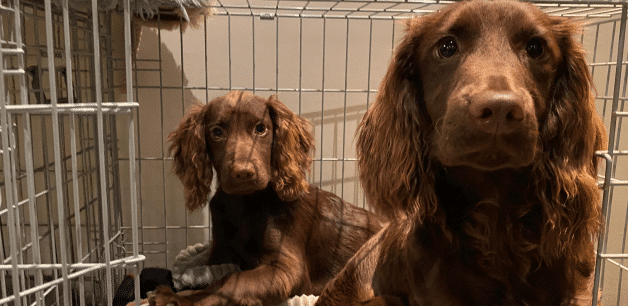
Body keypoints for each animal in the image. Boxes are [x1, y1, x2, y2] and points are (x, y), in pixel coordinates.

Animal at [151, 91, 382, 306]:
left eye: (260, 128)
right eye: (217, 132)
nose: (243, 172)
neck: (244, 203)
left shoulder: (286, 269)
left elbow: (231, 280)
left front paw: (177, 298)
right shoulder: (219, 253)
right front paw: (182, 293)